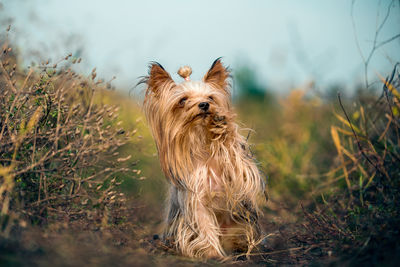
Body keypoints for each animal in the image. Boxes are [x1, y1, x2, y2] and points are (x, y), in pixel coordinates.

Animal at [142, 58, 268, 260]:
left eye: (210, 98)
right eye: (183, 100)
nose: (203, 105)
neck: (200, 138)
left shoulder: (241, 176)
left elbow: (235, 156)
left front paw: (221, 126)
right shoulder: (196, 200)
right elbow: (204, 225)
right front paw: (211, 253)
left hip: (240, 222)